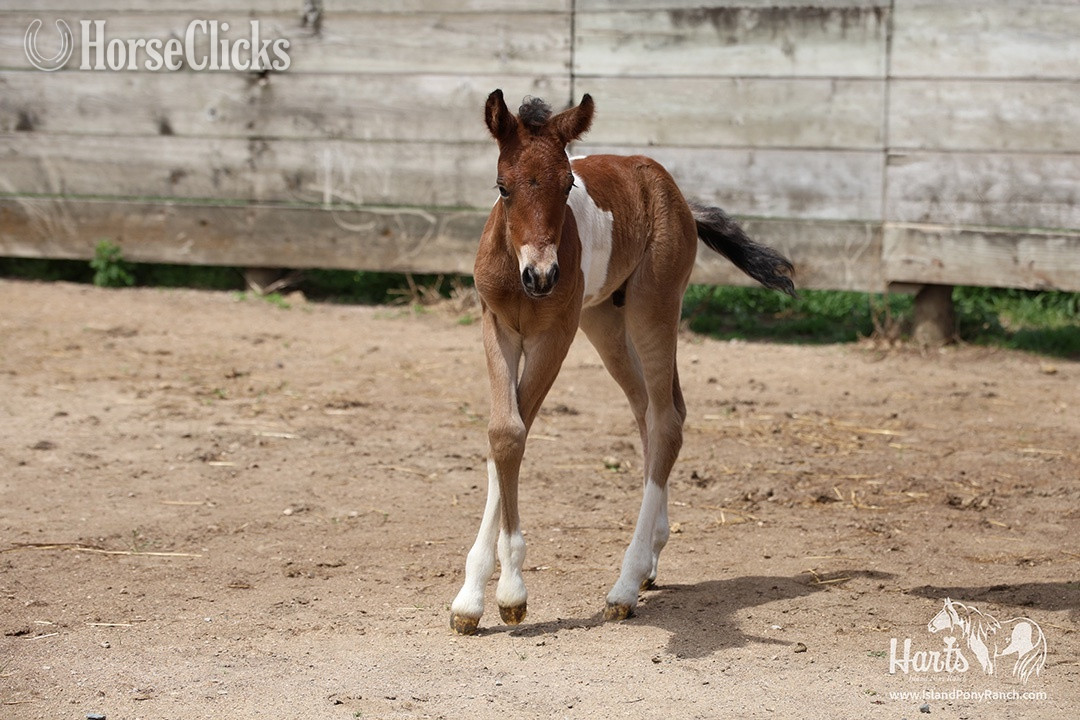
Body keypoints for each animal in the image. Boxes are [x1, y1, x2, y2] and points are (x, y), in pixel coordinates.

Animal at [449, 90, 795, 635]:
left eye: (569, 184)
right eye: (502, 188)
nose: (542, 277)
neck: (518, 270)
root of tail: (675, 193)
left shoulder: (554, 335)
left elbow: (517, 432)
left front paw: (511, 592)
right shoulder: (497, 327)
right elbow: (503, 433)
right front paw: (471, 598)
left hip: (652, 310)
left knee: (667, 420)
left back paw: (626, 583)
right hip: (605, 323)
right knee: (650, 409)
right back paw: (652, 554)